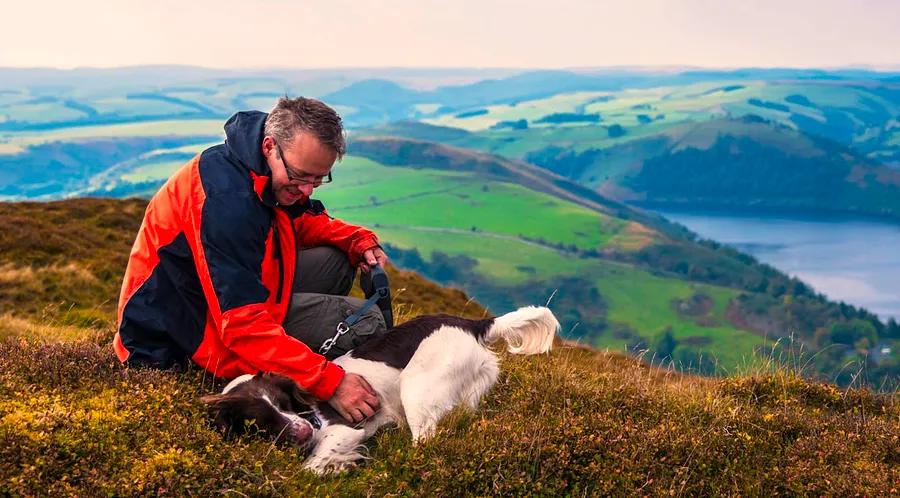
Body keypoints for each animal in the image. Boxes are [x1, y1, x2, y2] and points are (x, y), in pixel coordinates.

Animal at [201, 306, 560, 472]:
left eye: (285, 403)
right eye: (256, 421)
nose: (304, 430)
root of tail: (473, 323)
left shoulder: (344, 429)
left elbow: (311, 467)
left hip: (417, 388)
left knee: (424, 441)